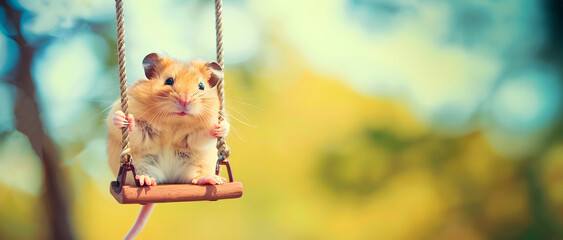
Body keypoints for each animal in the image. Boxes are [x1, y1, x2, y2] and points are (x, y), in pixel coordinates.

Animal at [107, 53, 230, 240]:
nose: (185, 101)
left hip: (194, 164)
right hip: (142, 164)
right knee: (143, 178)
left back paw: (211, 179)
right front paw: (123, 119)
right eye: (169, 81)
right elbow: (133, 128)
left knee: (194, 179)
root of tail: (169, 179)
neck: (175, 121)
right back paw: (146, 180)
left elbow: (204, 135)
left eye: (201, 86)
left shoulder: (193, 136)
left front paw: (220, 127)